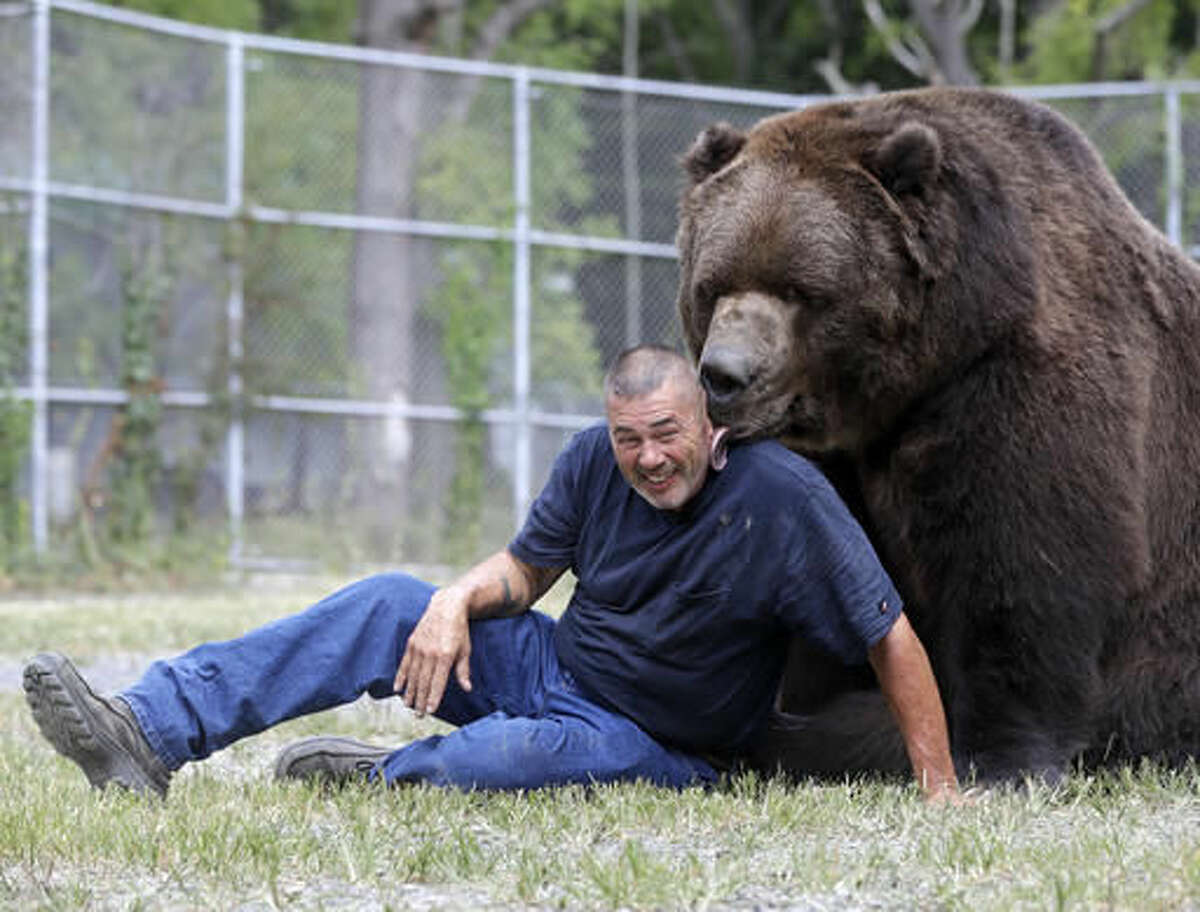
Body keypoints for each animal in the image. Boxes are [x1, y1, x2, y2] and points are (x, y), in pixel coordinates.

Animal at [674, 86, 1200, 784]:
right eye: (713, 284)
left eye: (801, 289)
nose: (725, 375)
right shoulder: (834, 459)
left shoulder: (1013, 381)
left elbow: (1025, 564)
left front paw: (1000, 755)